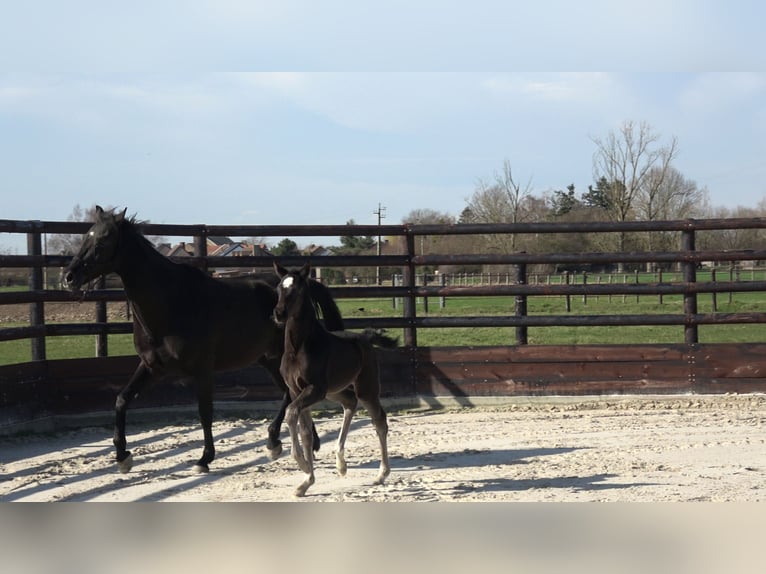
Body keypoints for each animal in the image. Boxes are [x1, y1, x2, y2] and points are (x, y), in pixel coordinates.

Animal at [62, 206, 344, 473]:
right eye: (86, 235)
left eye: (104, 238)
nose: (69, 277)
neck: (171, 302)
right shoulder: (152, 367)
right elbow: (122, 400)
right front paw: (122, 457)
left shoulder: (202, 370)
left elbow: (205, 413)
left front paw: (204, 459)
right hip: (269, 359)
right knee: (291, 394)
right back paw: (297, 443)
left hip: (278, 358)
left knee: (292, 395)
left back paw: (279, 443)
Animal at [273, 261, 394, 497]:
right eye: (279, 288)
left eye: (297, 289)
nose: (279, 313)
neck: (298, 349)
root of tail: (365, 338)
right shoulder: (295, 390)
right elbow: (305, 432)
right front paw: (305, 481)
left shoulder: (314, 389)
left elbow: (291, 413)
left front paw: (303, 466)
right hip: (335, 391)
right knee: (350, 403)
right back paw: (341, 464)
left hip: (365, 388)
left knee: (379, 421)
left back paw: (381, 474)